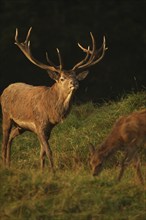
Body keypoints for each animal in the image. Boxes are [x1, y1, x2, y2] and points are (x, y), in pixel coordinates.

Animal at [0, 27, 106, 172]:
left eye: (76, 76)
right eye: (62, 78)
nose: (75, 83)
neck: (52, 111)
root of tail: (5, 90)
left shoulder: (48, 128)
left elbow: (42, 152)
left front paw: (43, 170)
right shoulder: (39, 124)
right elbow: (49, 151)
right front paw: (53, 171)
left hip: (21, 126)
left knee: (11, 137)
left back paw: (8, 164)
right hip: (6, 115)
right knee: (4, 141)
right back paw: (4, 165)